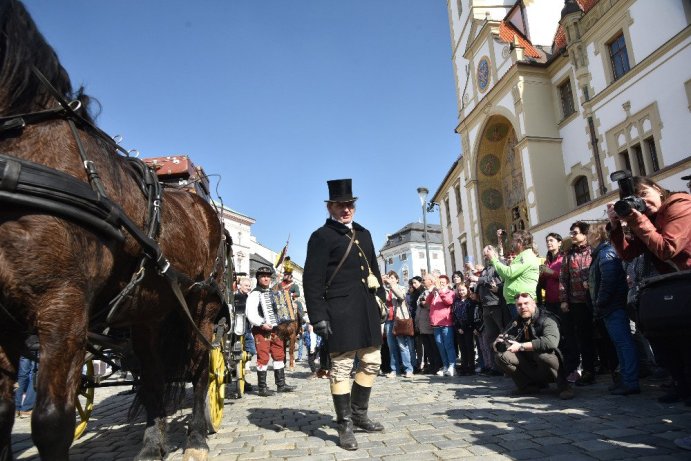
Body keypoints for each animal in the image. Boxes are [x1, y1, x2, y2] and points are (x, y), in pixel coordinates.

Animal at [0, 1, 227, 458]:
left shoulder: (63, 304)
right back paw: (152, 443)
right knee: (154, 378)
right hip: (148, 316)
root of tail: (205, 207)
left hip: (202, 306)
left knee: (201, 367)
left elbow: (51, 422)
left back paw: (196, 434)